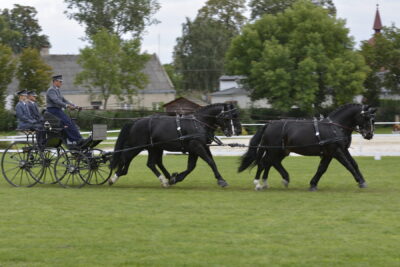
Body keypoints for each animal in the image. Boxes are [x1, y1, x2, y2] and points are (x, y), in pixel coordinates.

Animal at [108, 103, 242, 187]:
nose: (237, 131)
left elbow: (192, 166)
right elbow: (210, 162)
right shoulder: (196, 146)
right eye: (228, 117)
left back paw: (165, 180)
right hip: (136, 146)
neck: (199, 123)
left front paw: (176, 178)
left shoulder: (199, 147)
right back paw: (113, 178)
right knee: (125, 158)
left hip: (154, 148)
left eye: (236, 116)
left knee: (151, 163)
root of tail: (136, 121)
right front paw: (221, 180)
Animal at [239, 103, 376, 192]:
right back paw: (258, 184)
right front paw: (360, 181)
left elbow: (327, 168)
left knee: (271, 162)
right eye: (366, 117)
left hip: (281, 151)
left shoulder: (336, 151)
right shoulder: (335, 151)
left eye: (373, 120)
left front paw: (313, 184)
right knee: (264, 163)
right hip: (274, 150)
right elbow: (347, 165)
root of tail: (269, 124)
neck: (335, 127)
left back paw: (273, 181)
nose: (369, 134)